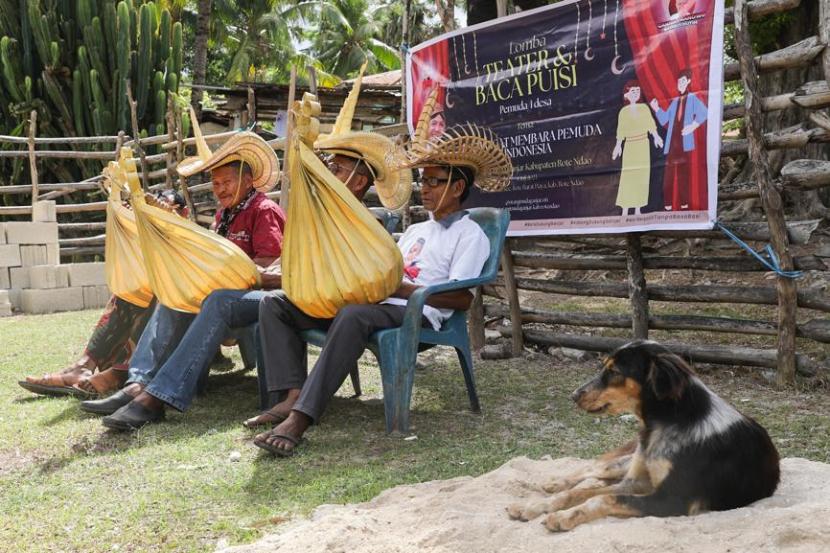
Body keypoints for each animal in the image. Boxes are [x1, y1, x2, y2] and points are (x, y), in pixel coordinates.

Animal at [504, 338, 784, 532]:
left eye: (614, 372)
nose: (573, 395)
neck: (665, 423)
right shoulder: (637, 481)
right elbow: (580, 493)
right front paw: (534, 505)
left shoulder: (672, 500)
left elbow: (599, 497)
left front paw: (562, 516)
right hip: (625, 463)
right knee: (593, 469)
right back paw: (553, 483)